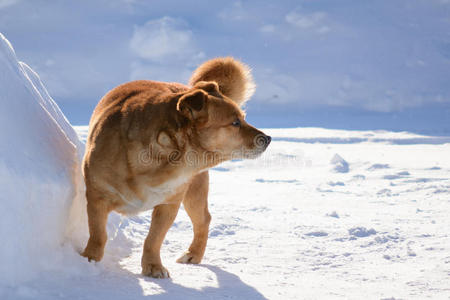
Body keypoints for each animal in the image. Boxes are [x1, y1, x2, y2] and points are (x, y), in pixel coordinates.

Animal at [81, 57, 270, 278]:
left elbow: (153, 240)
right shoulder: (96, 196)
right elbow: (98, 234)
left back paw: (193, 254)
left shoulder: (169, 204)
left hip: (194, 191)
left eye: (243, 118)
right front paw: (90, 260)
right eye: (235, 123)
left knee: (203, 220)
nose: (268, 138)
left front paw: (153, 266)